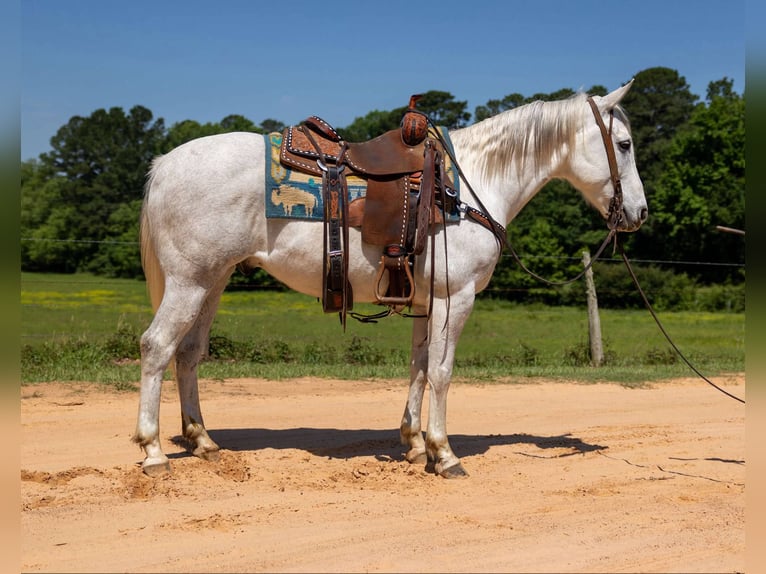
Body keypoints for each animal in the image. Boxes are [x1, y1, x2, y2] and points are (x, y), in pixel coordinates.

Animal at [133, 81, 647, 478]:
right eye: (623, 144)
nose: (640, 213)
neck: (472, 185)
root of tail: (165, 164)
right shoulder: (456, 298)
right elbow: (441, 372)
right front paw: (445, 453)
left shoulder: (425, 301)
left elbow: (418, 368)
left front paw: (415, 444)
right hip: (189, 282)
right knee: (156, 347)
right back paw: (154, 451)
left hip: (213, 282)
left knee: (188, 354)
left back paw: (202, 441)